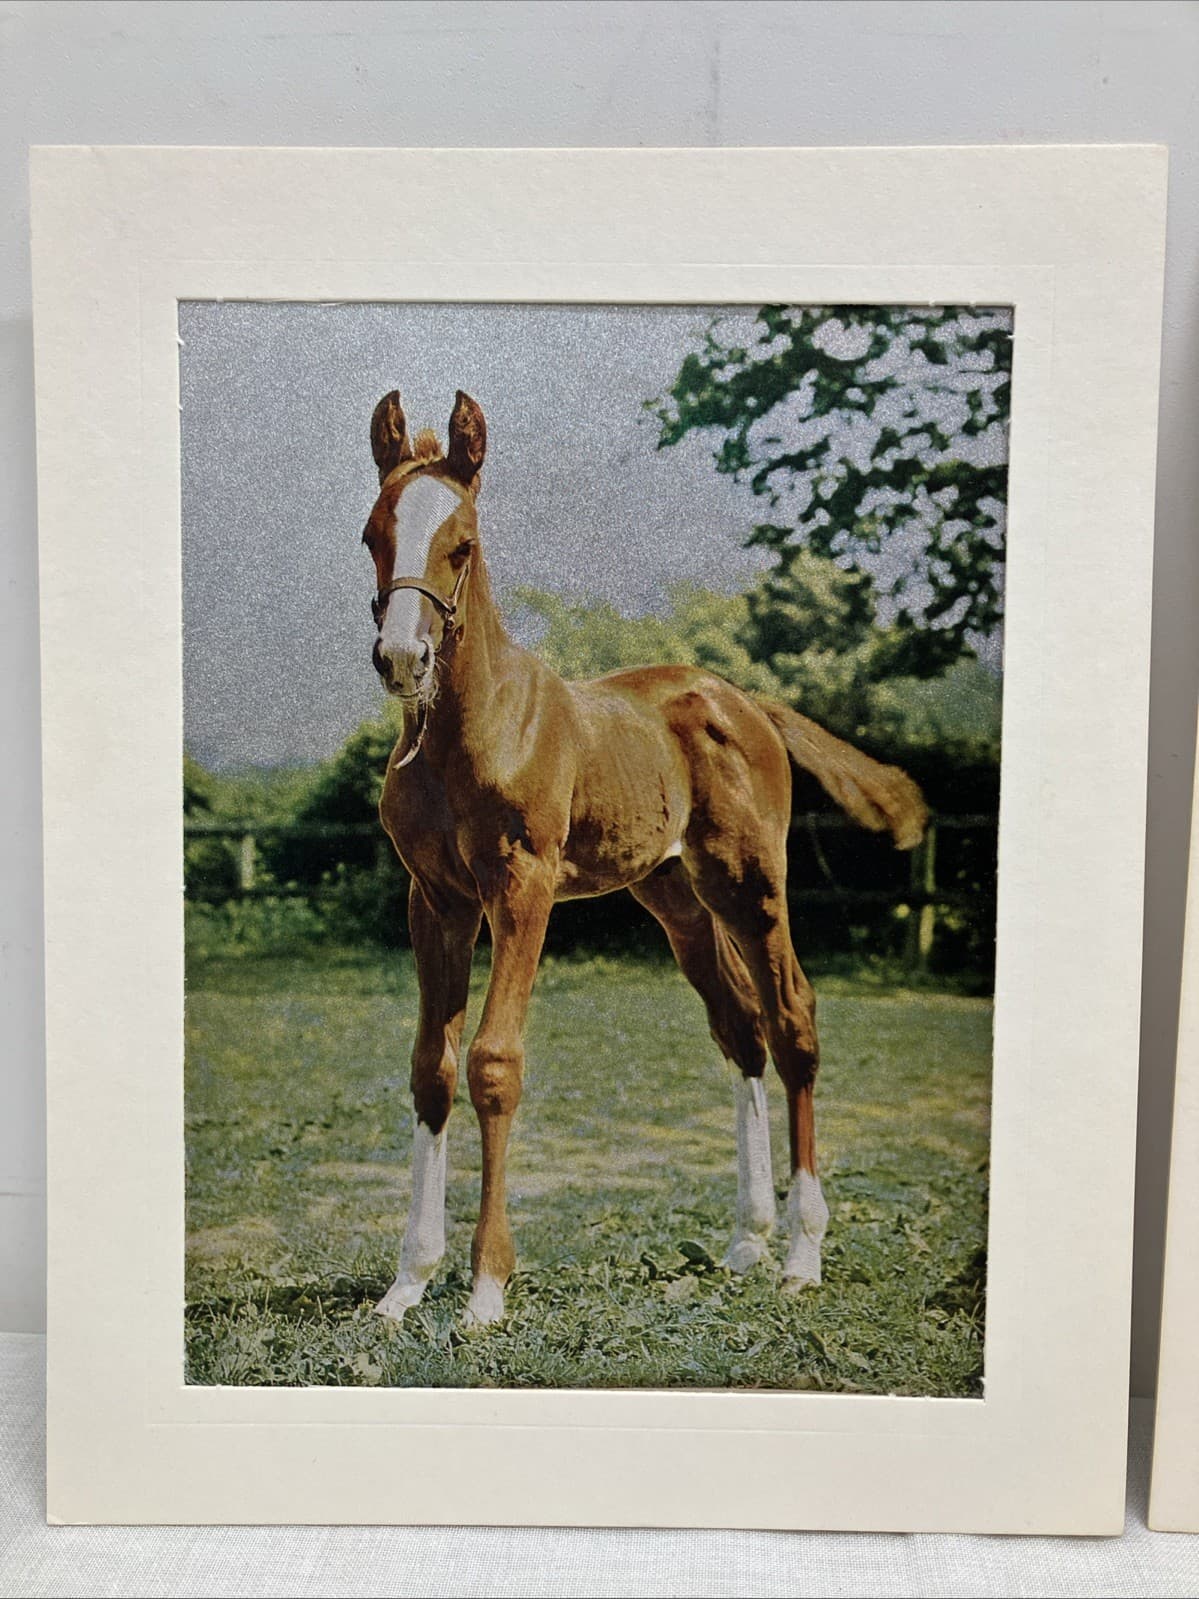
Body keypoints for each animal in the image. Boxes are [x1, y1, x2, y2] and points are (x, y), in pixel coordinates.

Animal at [361, 388, 928, 1327]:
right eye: (373, 533)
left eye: (461, 543)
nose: (404, 659)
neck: (470, 729)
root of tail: (747, 701)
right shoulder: (433, 898)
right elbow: (429, 1069)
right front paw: (405, 1282)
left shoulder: (521, 886)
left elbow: (492, 1062)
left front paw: (485, 1288)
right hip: (678, 898)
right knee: (740, 1028)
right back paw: (746, 1240)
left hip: (750, 883)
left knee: (792, 1019)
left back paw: (802, 1253)